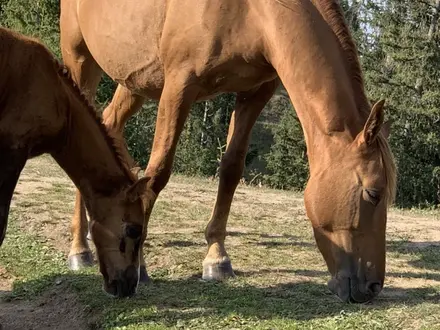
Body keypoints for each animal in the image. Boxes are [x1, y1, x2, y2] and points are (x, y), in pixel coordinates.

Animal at [60, 0, 398, 302]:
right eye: (373, 194)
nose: (373, 287)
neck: (253, 10)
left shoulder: (254, 92)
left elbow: (232, 169)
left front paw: (216, 258)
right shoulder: (179, 85)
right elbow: (158, 171)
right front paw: (140, 265)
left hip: (136, 80)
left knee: (108, 123)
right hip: (81, 61)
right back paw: (79, 248)